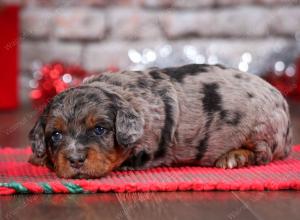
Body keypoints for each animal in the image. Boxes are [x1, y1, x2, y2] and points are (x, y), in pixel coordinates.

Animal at [28, 63, 292, 179]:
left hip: (261, 129)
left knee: (263, 154)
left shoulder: (145, 151)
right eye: (56, 135)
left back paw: (233, 157)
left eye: (100, 129)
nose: (75, 160)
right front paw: (39, 158)